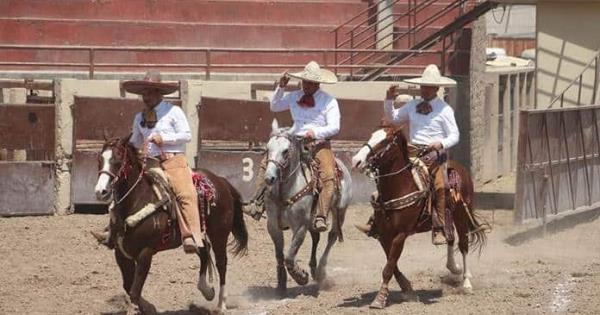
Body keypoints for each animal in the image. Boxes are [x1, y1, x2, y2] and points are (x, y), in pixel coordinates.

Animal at [94, 138, 248, 314]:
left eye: (118, 160)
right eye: (100, 159)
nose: (101, 191)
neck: (136, 201)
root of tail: (221, 181)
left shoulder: (145, 253)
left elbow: (134, 290)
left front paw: (144, 307)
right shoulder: (121, 252)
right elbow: (128, 286)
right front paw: (149, 307)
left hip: (219, 234)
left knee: (221, 263)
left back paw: (221, 304)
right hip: (197, 232)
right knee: (204, 250)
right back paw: (207, 290)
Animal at [262, 119, 352, 296]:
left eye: (285, 151)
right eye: (268, 148)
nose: (269, 178)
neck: (286, 191)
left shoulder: (300, 226)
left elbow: (290, 255)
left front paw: (301, 277)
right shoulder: (272, 226)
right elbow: (279, 255)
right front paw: (281, 284)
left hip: (340, 211)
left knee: (331, 236)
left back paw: (320, 272)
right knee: (316, 237)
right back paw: (313, 268)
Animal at [352, 126, 488, 308]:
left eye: (385, 141)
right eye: (372, 135)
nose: (356, 161)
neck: (400, 187)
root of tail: (461, 169)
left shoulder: (401, 234)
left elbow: (388, 268)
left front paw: (379, 299)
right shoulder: (383, 235)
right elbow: (392, 265)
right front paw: (408, 290)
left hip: (460, 214)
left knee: (464, 245)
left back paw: (466, 283)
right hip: (447, 216)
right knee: (450, 238)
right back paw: (454, 267)